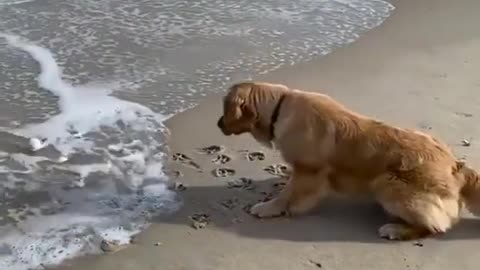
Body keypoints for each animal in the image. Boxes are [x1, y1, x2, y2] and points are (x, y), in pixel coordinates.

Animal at [218, 80, 480, 240]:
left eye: (225, 108)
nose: (218, 123)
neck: (281, 106)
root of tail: (456, 166)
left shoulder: (307, 170)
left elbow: (287, 194)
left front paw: (269, 207)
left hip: (387, 182)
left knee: (437, 226)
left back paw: (396, 229)